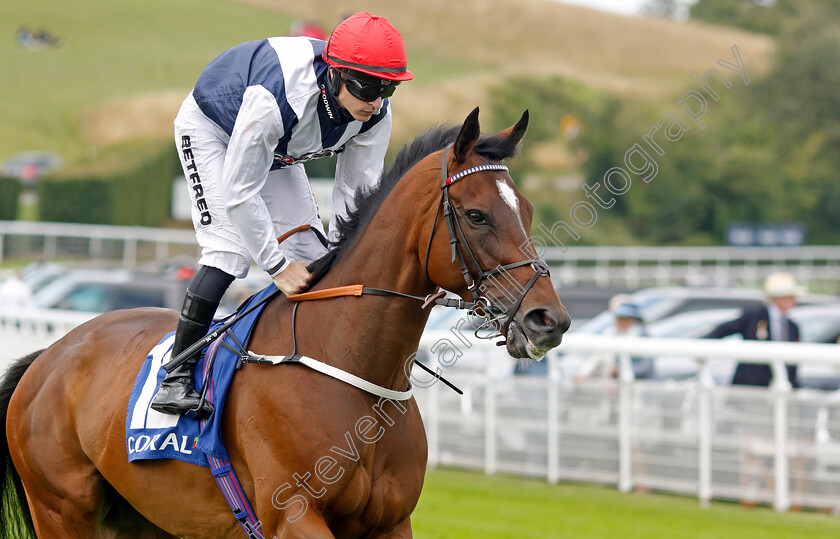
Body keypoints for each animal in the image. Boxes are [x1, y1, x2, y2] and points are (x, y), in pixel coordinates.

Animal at [0, 107, 568, 536]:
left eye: (528, 211)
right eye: (476, 215)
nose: (550, 320)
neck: (352, 367)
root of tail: (49, 356)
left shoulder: (390, 522)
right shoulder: (294, 517)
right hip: (61, 510)